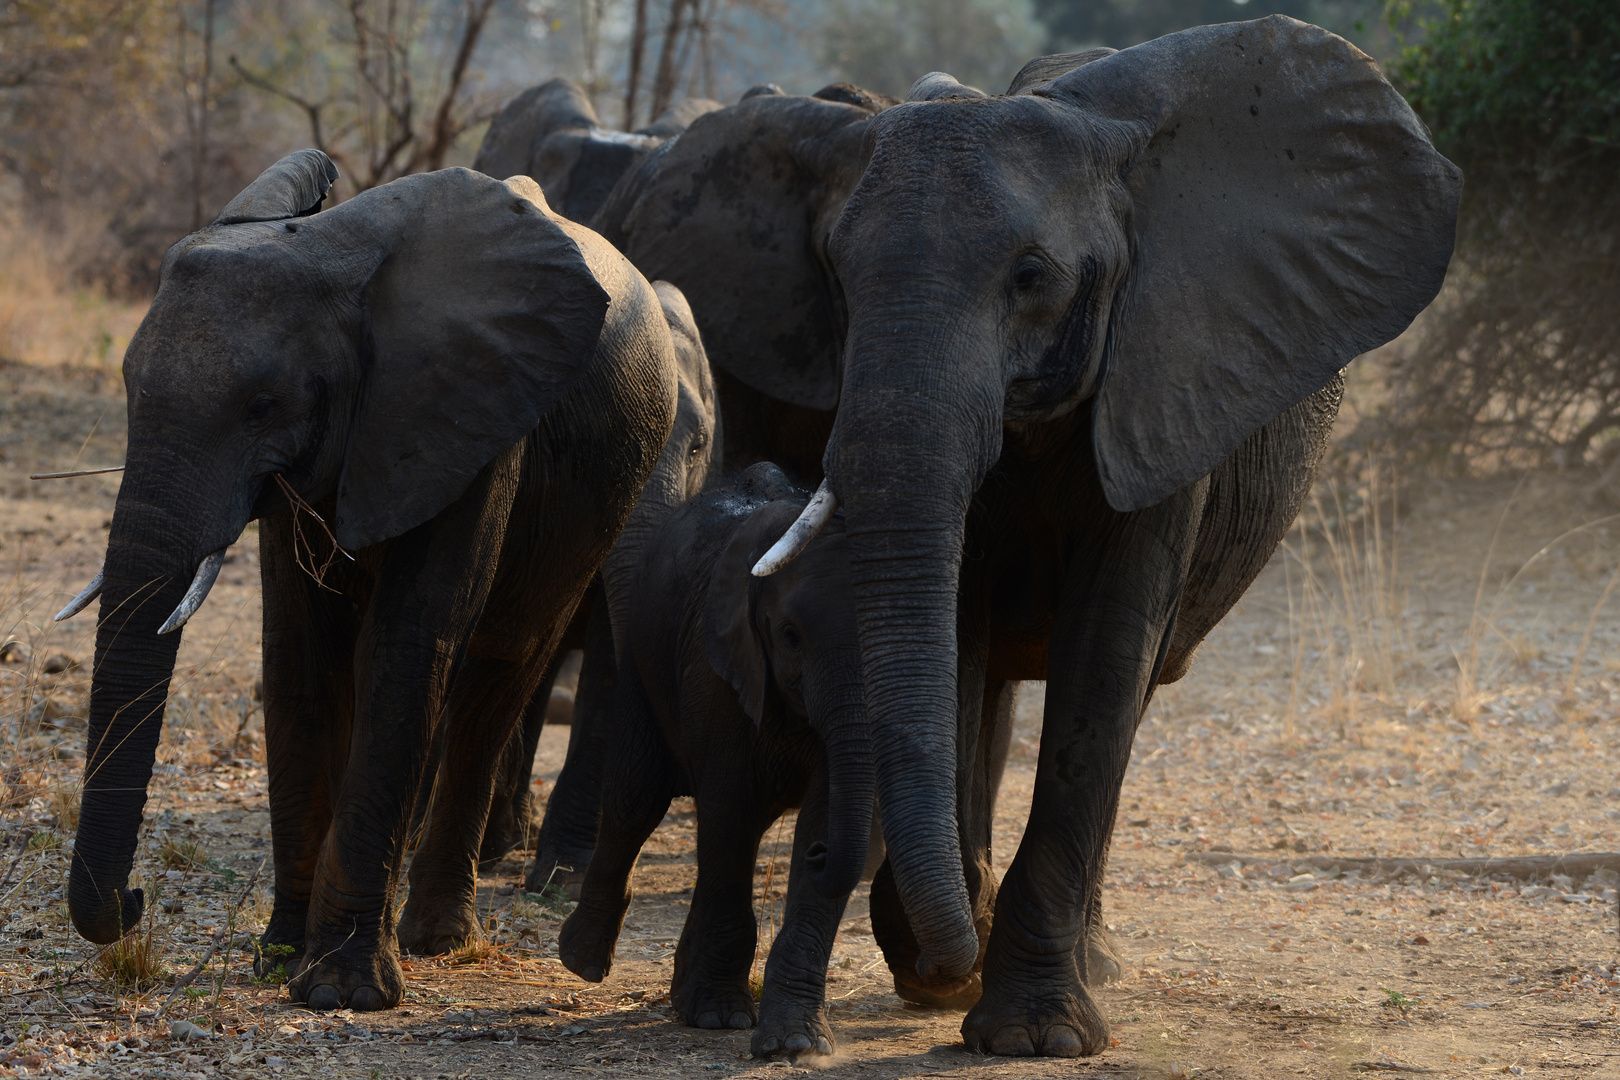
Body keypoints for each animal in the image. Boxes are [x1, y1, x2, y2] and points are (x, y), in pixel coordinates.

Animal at [59, 152, 680, 1016]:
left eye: (263, 405)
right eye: (127, 387)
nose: (135, 900)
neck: (331, 248)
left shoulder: (469, 418)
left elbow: (407, 647)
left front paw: (341, 990)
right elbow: (299, 656)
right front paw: (279, 959)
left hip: (599, 510)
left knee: (497, 679)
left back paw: (437, 940)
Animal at [589, 16, 1464, 1062]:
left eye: (1032, 278)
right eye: (836, 275)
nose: (946, 961)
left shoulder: (1163, 375)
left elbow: (1107, 653)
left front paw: (1033, 1033)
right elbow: (953, 627)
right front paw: (937, 967)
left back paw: (1084, 963)